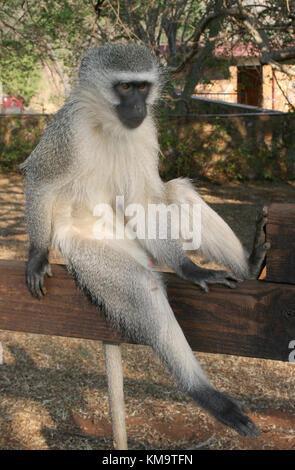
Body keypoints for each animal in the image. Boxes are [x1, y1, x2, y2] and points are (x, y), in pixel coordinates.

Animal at [22, 42, 268, 438]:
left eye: (142, 87)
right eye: (124, 87)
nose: (138, 107)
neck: (107, 124)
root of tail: (138, 252)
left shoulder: (146, 131)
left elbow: (144, 200)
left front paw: (189, 268)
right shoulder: (67, 130)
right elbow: (41, 178)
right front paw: (37, 253)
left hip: (142, 239)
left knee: (177, 192)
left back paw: (249, 265)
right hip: (89, 252)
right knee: (140, 284)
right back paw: (203, 393)